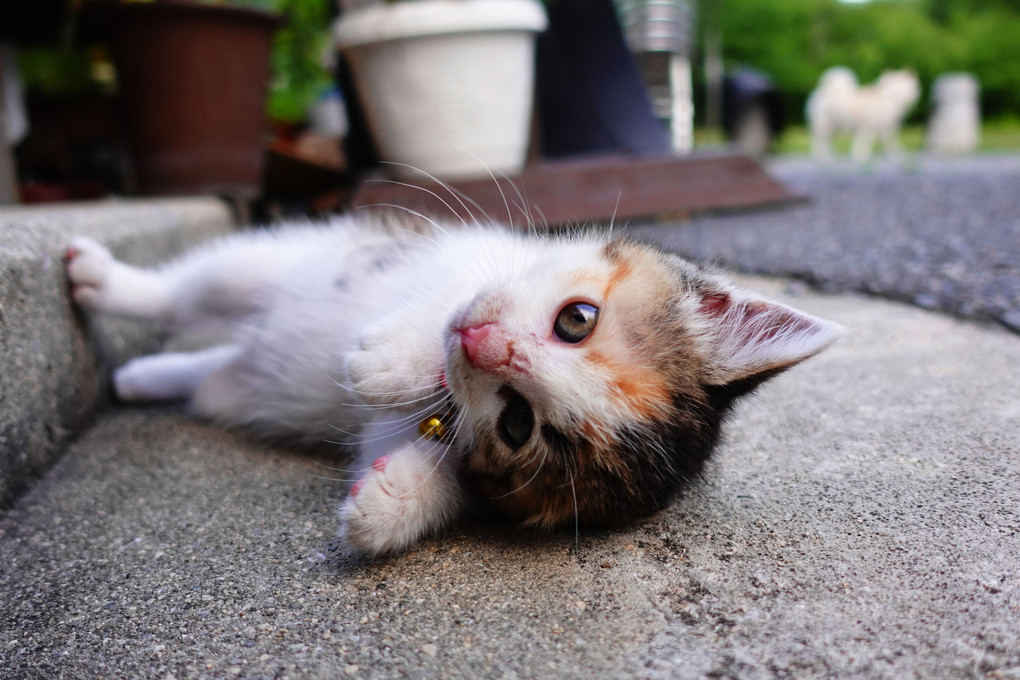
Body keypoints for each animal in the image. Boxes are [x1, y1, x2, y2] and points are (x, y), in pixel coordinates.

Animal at [65, 215, 844, 554]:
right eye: (578, 319)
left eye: (517, 423)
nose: (478, 345)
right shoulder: (470, 258)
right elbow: (443, 300)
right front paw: (386, 362)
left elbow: (432, 466)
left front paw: (388, 505)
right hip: (281, 263)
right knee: (193, 290)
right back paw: (105, 280)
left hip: (238, 387)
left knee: (212, 371)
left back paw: (142, 377)